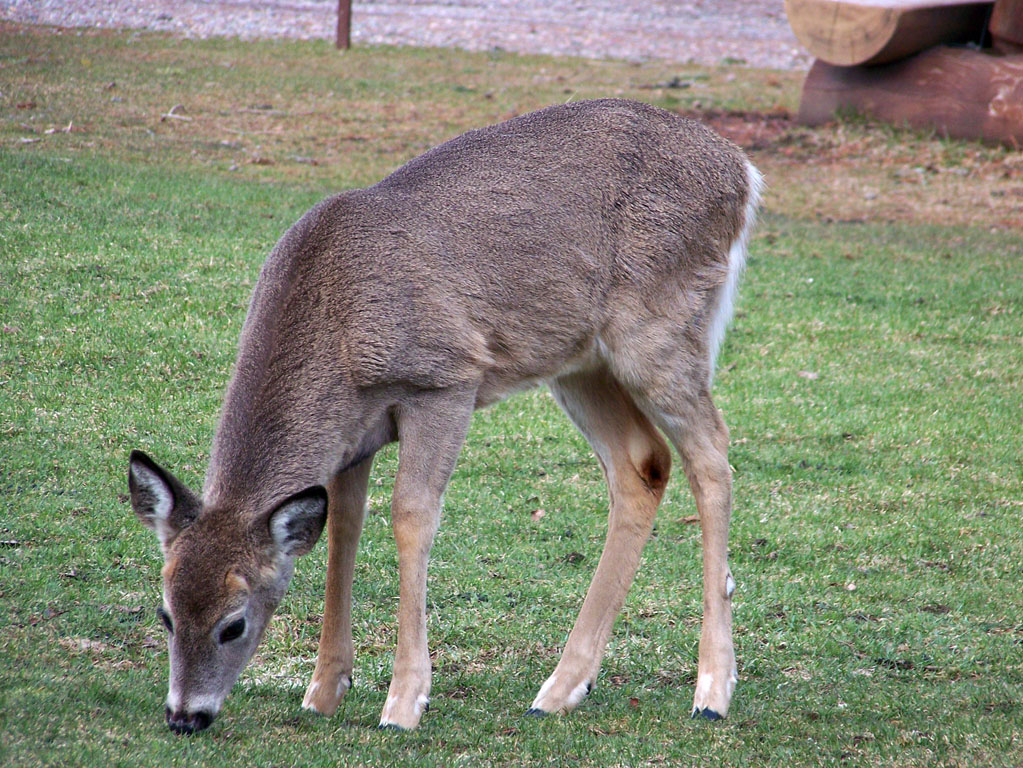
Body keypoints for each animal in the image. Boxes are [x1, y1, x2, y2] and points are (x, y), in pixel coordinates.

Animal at [127, 99, 765, 736]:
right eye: (165, 612)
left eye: (233, 623)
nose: (184, 715)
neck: (340, 331)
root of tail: (742, 172)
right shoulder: (352, 436)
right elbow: (343, 529)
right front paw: (324, 691)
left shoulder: (445, 380)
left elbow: (411, 516)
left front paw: (405, 701)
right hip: (579, 362)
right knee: (644, 463)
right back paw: (561, 688)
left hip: (660, 327)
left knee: (712, 454)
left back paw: (712, 688)